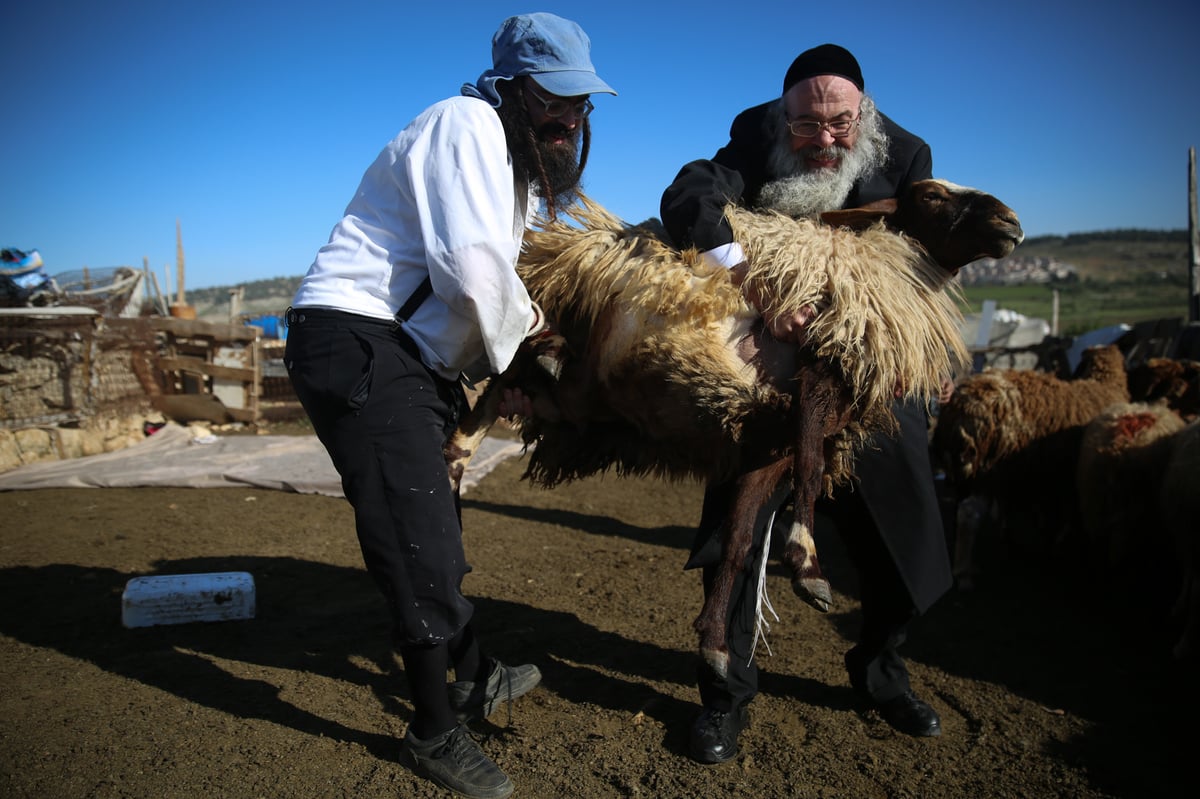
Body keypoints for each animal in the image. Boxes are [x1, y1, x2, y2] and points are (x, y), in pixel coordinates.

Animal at [451, 178, 1022, 671]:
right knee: (502, 363)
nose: (1011, 222)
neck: (881, 269)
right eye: (930, 195)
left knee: (482, 416)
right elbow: (812, 472)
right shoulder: (818, 375)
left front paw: (715, 642)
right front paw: (806, 565)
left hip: (558, 399)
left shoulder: (769, 444)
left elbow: (740, 536)